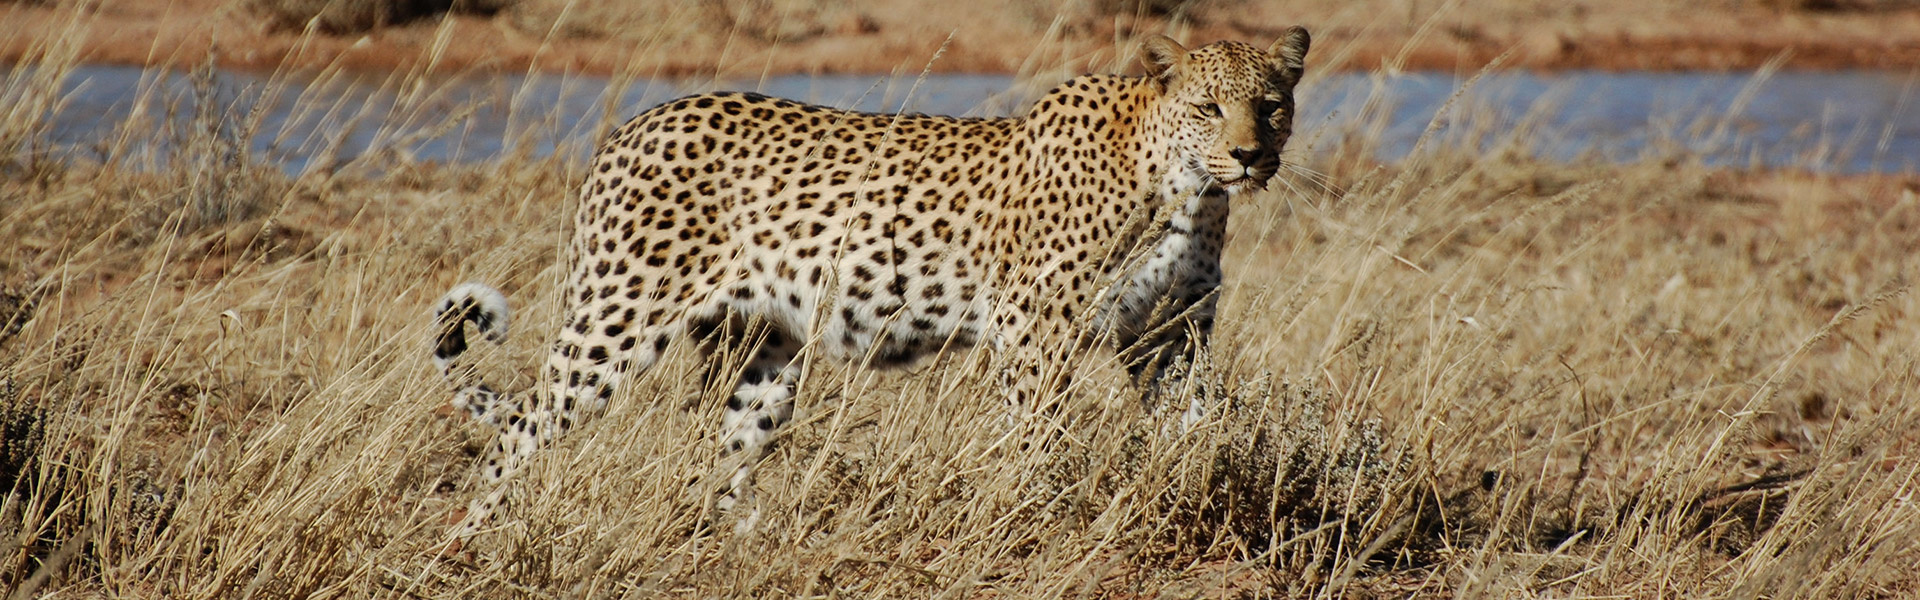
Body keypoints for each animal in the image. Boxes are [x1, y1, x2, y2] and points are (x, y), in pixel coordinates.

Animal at [428, 30, 1313, 538]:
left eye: (1271, 105)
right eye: (1209, 107)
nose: (1250, 157)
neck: (1188, 194)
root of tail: (633, 124)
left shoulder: (1171, 334)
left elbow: (1197, 429)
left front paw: (1201, 496)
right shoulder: (1034, 329)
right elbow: (1041, 439)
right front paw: (1049, 516)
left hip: (762, 352)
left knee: (721, 456)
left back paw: (741, 546)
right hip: (617, 319)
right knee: (519, 432)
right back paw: (473, 543)